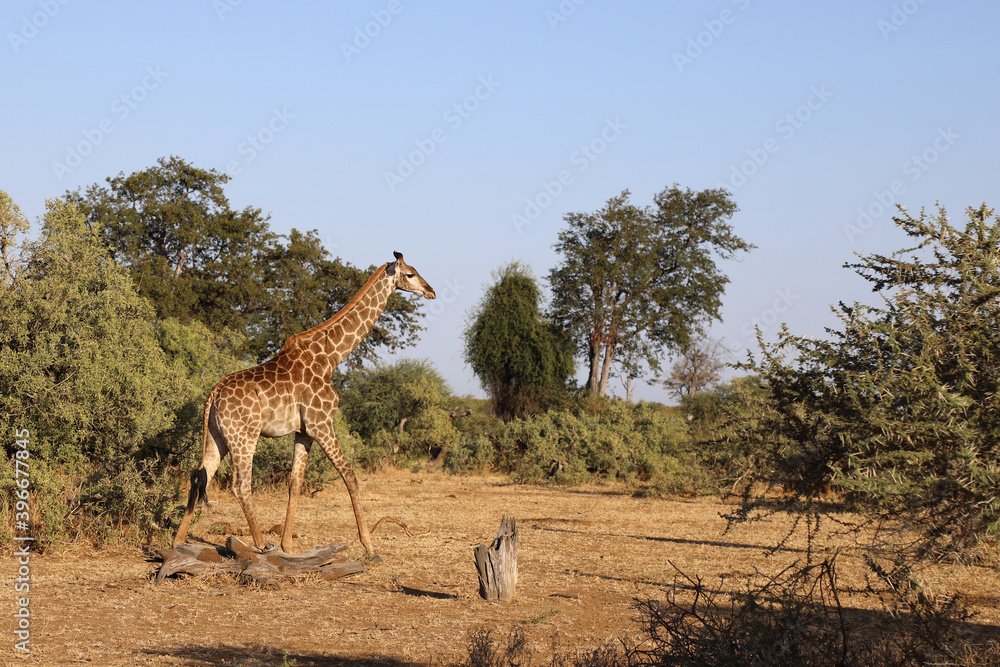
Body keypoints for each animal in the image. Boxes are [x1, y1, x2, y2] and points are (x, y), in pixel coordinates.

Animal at [172, 251, 435, 558]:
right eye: (410, 274)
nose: (431, 291)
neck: (331, 357)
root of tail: (213, 393)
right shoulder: (322, 422)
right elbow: (350, 476)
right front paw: (369, 547)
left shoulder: (304, 431)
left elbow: (295, 484)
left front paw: (288, 545)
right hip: (244, 436)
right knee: (240, 485)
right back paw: (262, 545)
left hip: (217, 436)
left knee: (200, 476)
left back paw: (177, 544)